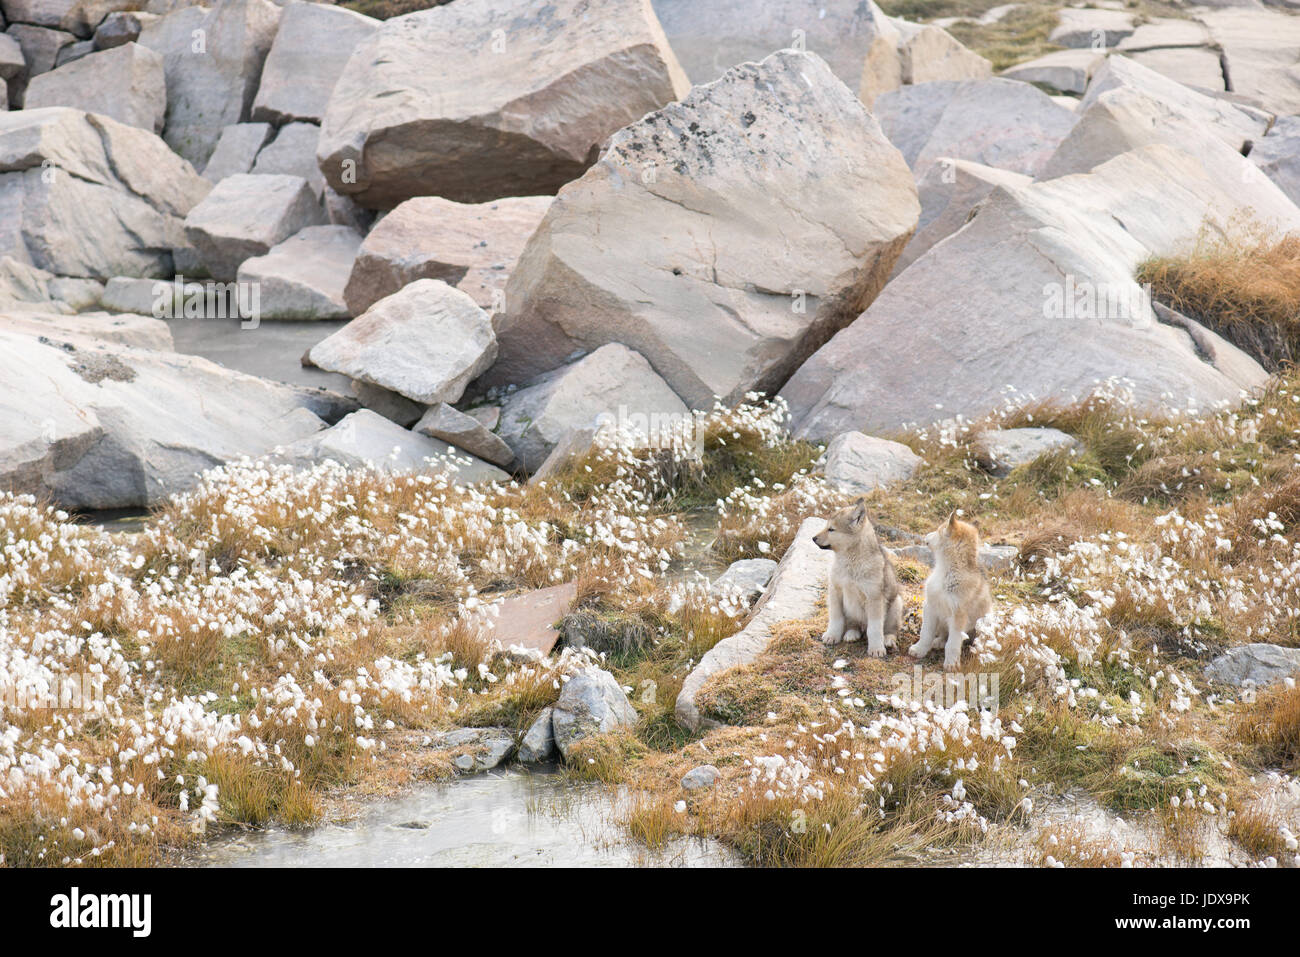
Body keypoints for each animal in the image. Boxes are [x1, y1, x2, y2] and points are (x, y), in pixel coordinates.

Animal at [811, 494, 904, 657]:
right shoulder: (835, 591)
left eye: (831, 529)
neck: (851, 562)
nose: (813, 538)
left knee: (890, 630)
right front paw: (832, 636)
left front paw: (876, 649)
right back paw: (851, 633)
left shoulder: (874, 598)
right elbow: (835, 618)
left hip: (896, 604)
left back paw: (888, 640)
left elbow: (874, 629)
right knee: (853, 624)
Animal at [909, 512, 987, 670]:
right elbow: (926, 633)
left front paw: (951, 664)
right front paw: (919, 650)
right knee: (943, 635)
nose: (926, 535)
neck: (947, 573)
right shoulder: (930, 606)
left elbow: (953, 643)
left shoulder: (958, 616)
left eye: (939, 530)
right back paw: (937, 642)